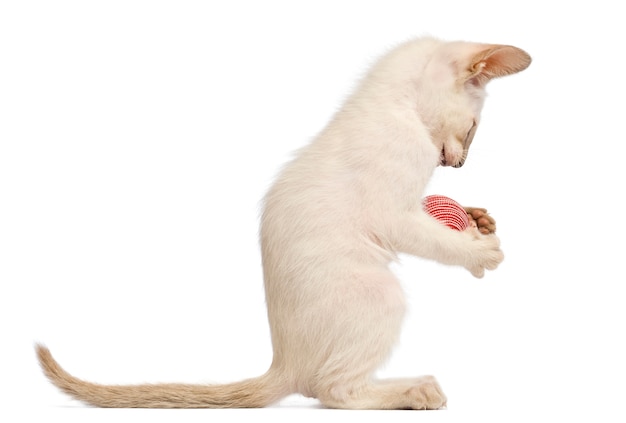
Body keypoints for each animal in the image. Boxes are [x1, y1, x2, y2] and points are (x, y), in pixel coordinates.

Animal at [36, 37, 528, 410]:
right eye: (473, 129)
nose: (458, 166)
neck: (397, 104)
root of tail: (283, 364)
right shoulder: (392, 212)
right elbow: (435, 239)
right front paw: (480, 251)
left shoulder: (410, 203)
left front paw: (480, 219)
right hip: (381, 295)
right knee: (334, 390)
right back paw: (415, 392)